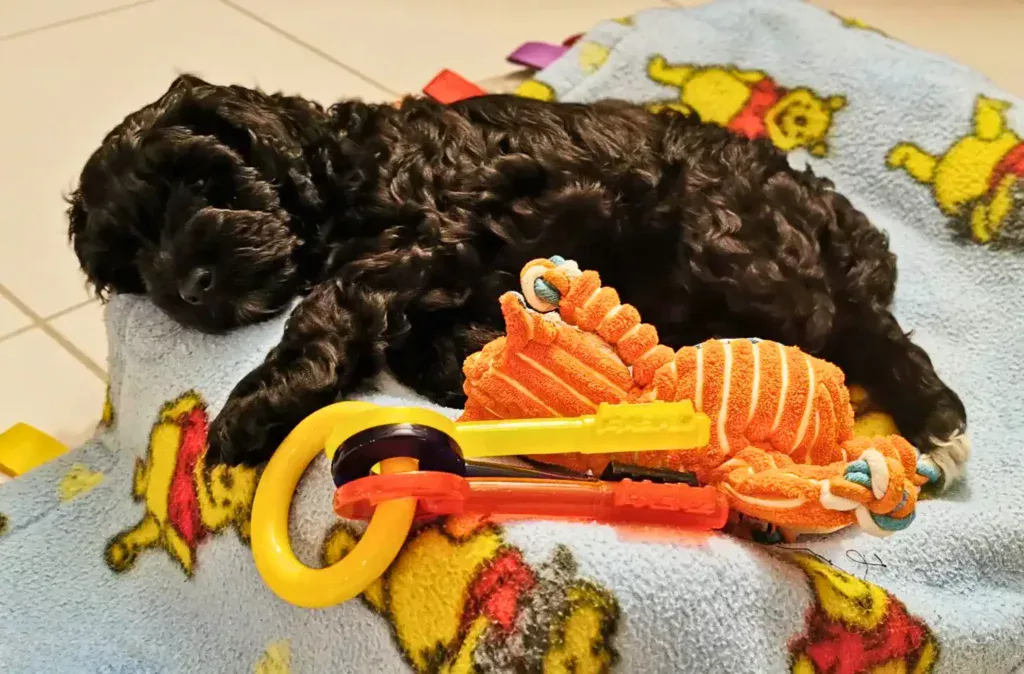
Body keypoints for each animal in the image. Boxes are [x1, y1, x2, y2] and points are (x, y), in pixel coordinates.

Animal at [66, 74, 966, 483]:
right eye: (131, 258)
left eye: (202, 182)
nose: (188, 283)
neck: (334, 170)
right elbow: (424, 340)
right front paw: (489, 358)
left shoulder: (425, 229)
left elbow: (331, 308)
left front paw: (254, 409)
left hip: (736, 251)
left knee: (851, 331)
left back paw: (933, 416)